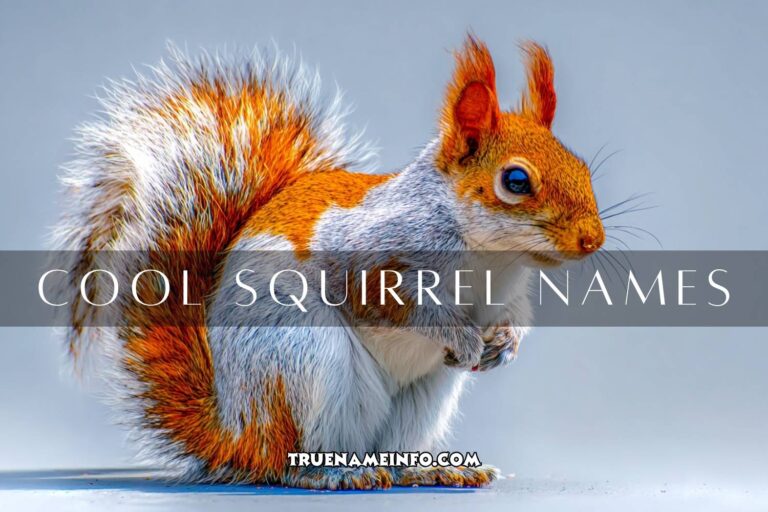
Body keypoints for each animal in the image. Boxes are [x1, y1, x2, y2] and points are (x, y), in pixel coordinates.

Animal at [54, 35, 604, 489]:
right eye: (516, 181)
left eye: (580, 165)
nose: (592, 240)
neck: (493, 258)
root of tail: (236, 434)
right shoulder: (371, 256)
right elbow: (390, 301)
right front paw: (462, 336)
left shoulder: (507, 293)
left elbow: (514, 318)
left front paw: (505, 344)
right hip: (301, 361)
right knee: (290, 459)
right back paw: (329, 474)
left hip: (423, 396)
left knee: (393, 451)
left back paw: (427, 471)